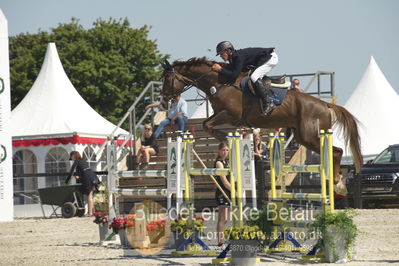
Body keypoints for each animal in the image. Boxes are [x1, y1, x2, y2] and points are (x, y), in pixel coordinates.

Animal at [161, 57, 364, 183]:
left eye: (168, 79)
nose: (163, 102)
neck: (220, 82)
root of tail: (325, 104)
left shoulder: (230, 115)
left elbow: (207, 125)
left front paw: (226, 140)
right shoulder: (220, 114)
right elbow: (206, 124)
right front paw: (227, 143)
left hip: (310, 135)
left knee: (337, 151)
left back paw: (337, 182)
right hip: (303, 136)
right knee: (333, 151)